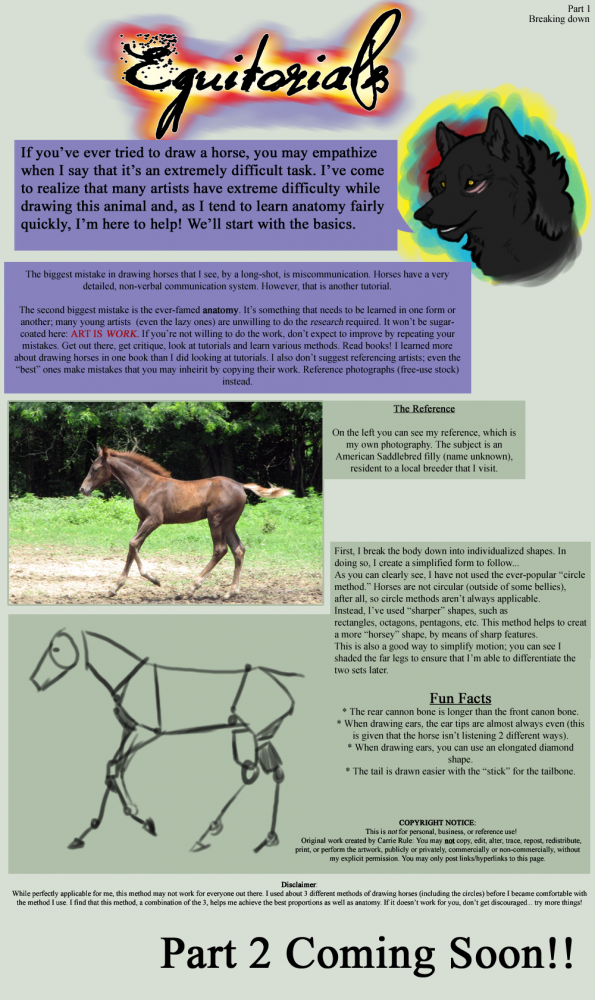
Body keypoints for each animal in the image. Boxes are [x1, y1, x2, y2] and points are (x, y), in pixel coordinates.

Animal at [31, 629, 302, 853]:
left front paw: (142, 819)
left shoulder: (145, 732)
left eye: (56, 649)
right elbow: (112, 768)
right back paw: (255, 836)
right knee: (269, 774)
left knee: (258, 776)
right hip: (252, 734)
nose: (35, 681)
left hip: (258, 734)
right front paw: (88, 831)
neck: (128, 679)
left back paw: (212, 835)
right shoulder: (129, 729)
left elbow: (117, 768)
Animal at [80, 446, 292, 599]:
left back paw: (190, 589)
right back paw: (230, 592)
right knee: (238, 549)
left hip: (215, 520)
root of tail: (240, 485)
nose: (83, 489)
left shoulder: (154, 520)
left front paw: (154, 580)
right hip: (228, 524)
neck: (146, 485)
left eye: (95, 468)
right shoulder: (142, 521)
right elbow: (133, 548)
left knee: (220, 549)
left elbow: (133, 544)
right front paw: (114, 588)